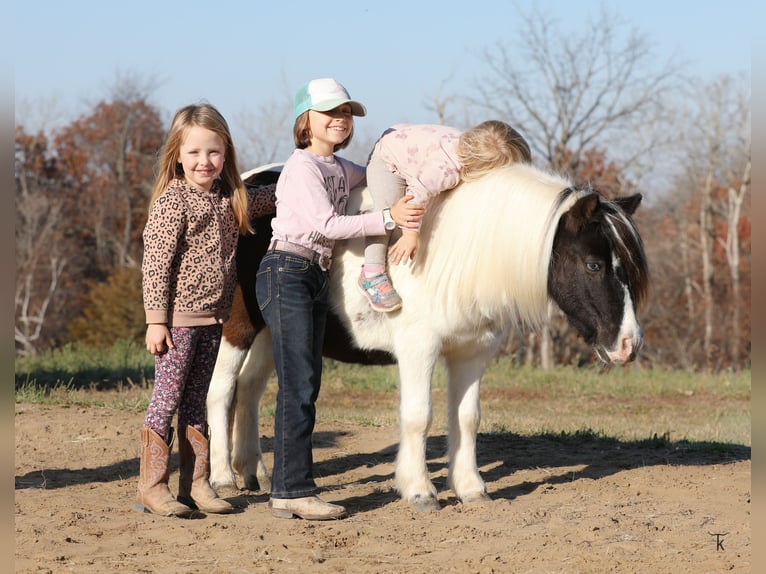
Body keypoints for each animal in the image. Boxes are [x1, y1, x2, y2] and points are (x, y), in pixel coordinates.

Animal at [206, 162, 649, 511]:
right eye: (593, 264)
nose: (629, 344)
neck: (464, 255)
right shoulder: (419, 351)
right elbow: (419, 418)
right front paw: (419, 490)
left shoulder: (472, 354)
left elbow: (467, 418)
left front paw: (470, 488)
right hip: (240, 327)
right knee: (222, 391)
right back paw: (223, 477)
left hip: (271, 331)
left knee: (249, 390)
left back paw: (255, 473)